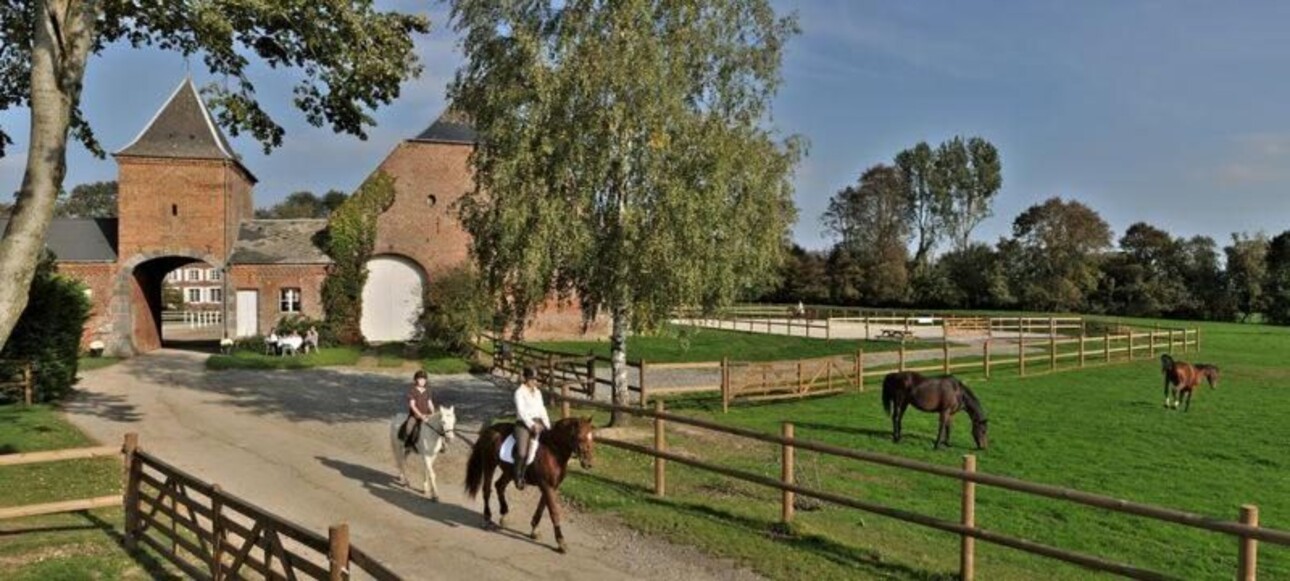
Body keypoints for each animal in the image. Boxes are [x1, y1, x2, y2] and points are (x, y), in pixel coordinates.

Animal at [464, 415, 593, 552]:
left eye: (592, 437)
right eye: (580, 437)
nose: (589, 463)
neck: (553, 451)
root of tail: (489, 430)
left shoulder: (551, 487)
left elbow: (541, 508)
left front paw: (534, 530)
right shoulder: (547, 486)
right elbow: (553, 512)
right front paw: (561, 541)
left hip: (509, 472)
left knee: (499, 486)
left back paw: (504, 515)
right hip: (490, 465)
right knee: (487, 490)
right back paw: (487, 518)